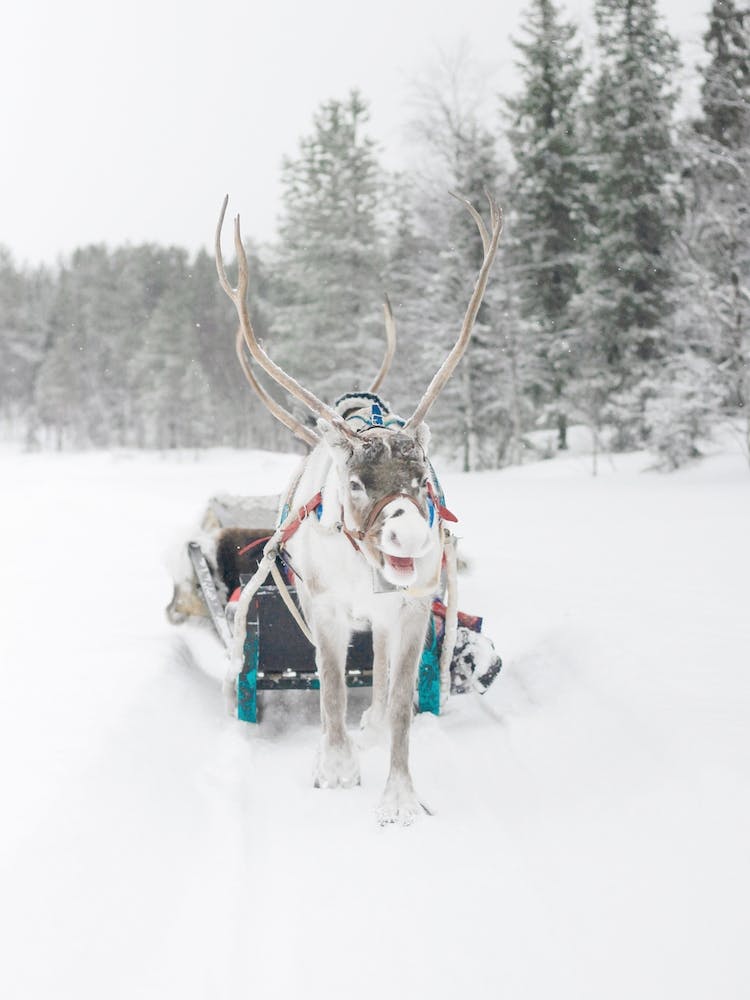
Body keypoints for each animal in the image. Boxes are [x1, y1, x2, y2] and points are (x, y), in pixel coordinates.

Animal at [215, 192, 502, 824]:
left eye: (421, 478)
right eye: (354, 482)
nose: (411, 539)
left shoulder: (413, 609)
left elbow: (397, 702)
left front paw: (399, 798)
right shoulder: (322, 606)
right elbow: (330, 687)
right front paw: (336, 769)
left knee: (387, 676)